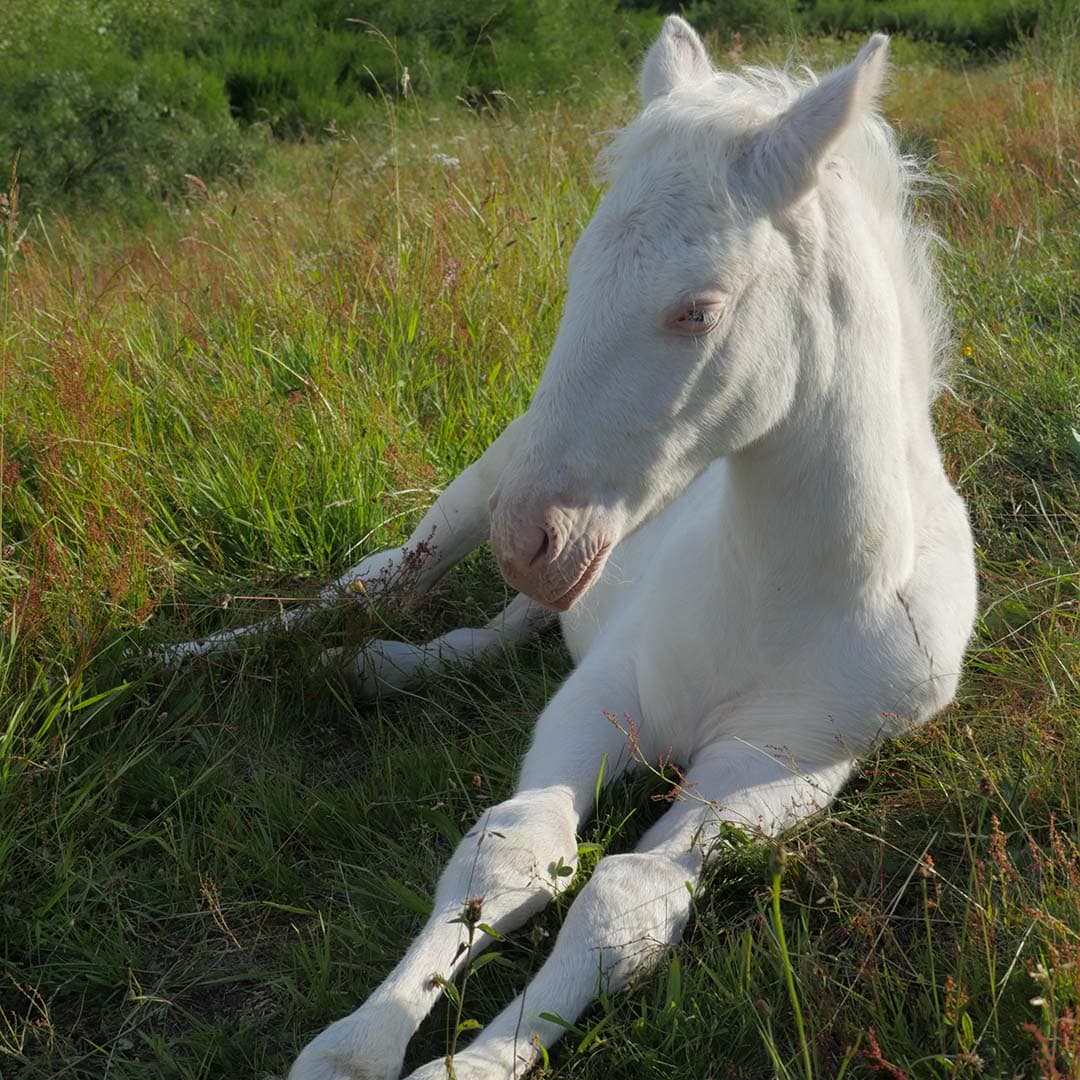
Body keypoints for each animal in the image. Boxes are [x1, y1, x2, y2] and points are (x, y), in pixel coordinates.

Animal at [192, 19, 980, 1080]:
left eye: (698, 309)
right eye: (576, 275)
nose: (531, 538)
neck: (781, 593)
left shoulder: (783, 763)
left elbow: (627, 897)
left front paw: (474, 1063)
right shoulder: (608, 694)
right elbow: (511, 849)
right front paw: (354, 1051)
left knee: (492, 631)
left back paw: (381, 669)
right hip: (472, 498)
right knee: (373, 586)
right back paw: (206, 657)